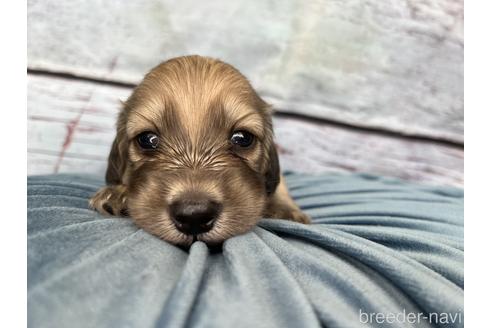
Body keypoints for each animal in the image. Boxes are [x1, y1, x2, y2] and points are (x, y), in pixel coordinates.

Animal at [90, 55, 310, 245]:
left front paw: (284, 209)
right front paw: (117, 193)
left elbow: (280, 189)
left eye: (242, 138)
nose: (194, 215)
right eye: (147, 139)